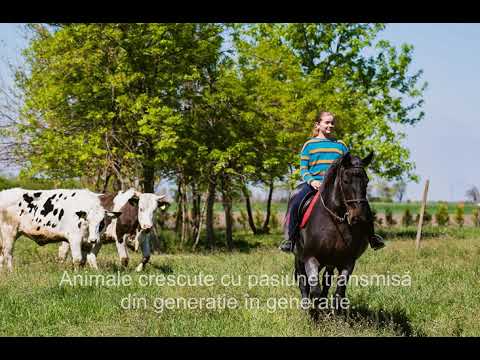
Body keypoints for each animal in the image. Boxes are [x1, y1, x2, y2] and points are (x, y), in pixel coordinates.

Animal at [290, 151, 376, 312]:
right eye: (346, 180)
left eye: (366, 181)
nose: (359, 216)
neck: (335, 219)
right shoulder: (310, 257)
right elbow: (314, 289)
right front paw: (315, 312)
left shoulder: (348, 261)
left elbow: (339, 291)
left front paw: (334, 313)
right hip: (299, 256)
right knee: (303, 282)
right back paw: (306, 305)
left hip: (330, 262)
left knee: (326, 281)